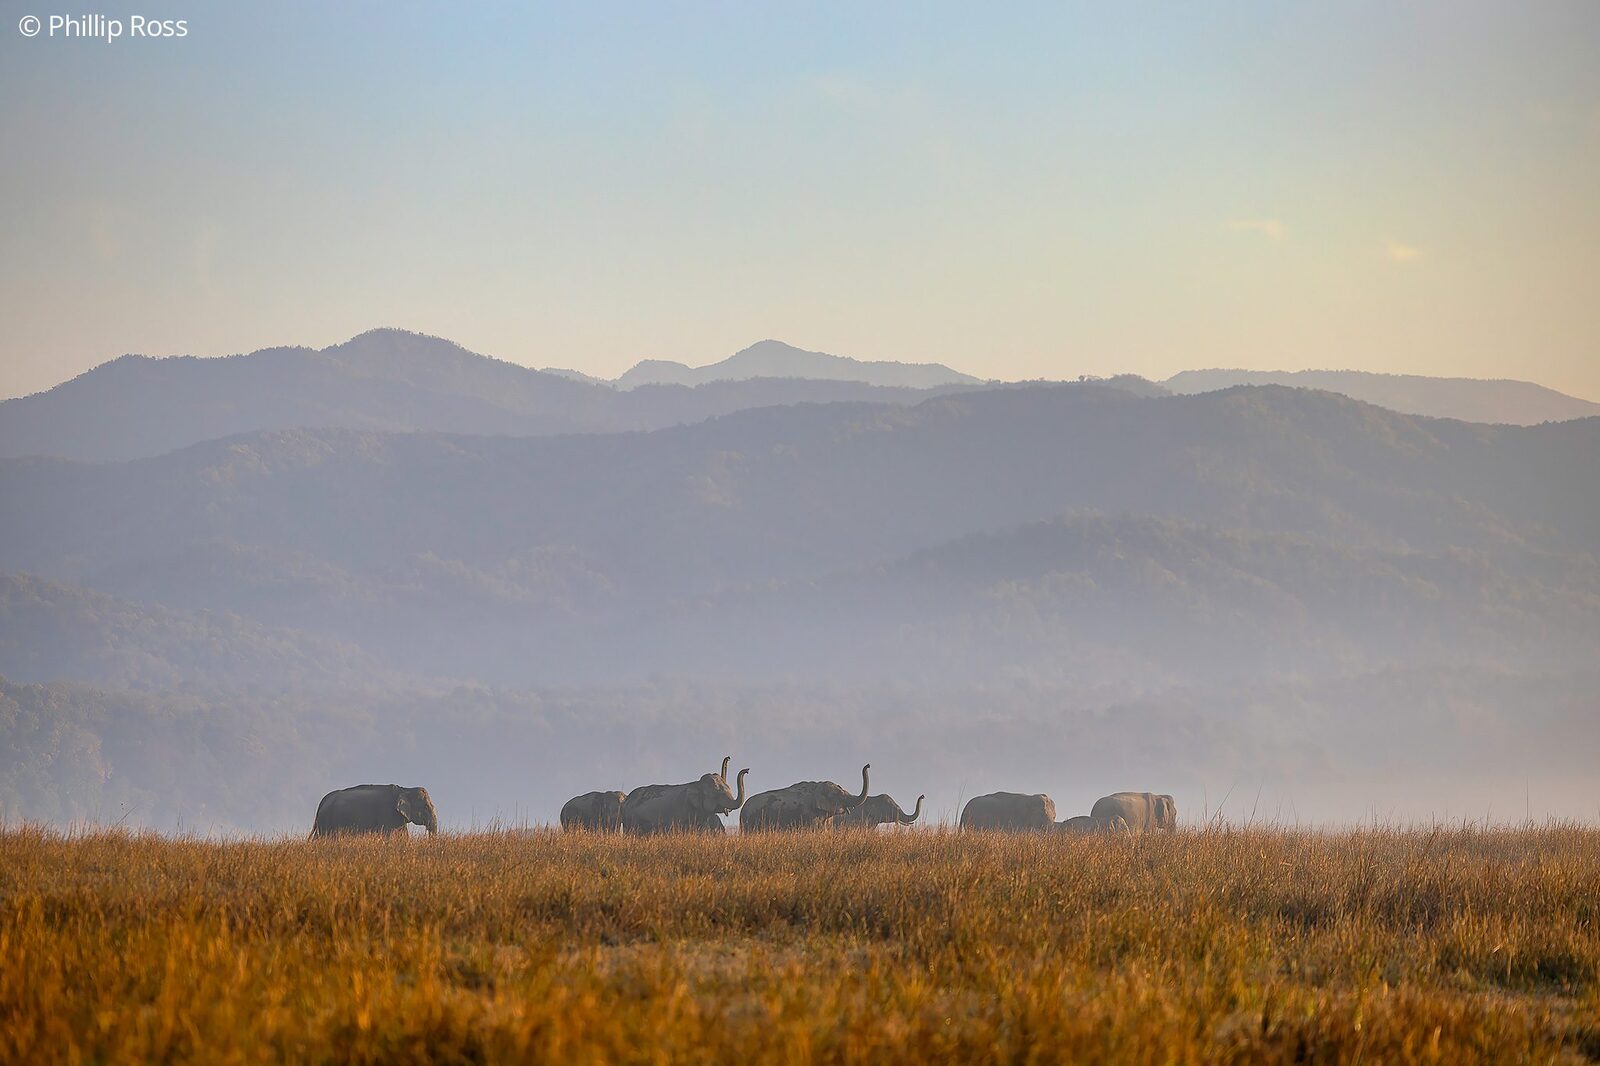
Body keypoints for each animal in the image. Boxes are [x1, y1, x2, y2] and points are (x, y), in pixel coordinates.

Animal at [739, 764, 871, 831]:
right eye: (838, 795)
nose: (868, 765)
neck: (817, 786)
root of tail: (743, 808)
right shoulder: (809, 815)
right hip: (750, 822)